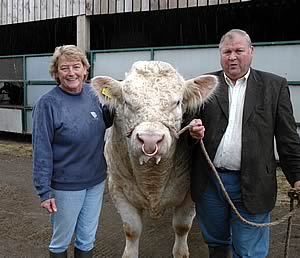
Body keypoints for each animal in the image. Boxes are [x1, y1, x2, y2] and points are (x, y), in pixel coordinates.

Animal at [91, 61, 218, 258]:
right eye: (126, 102)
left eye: (178, 102)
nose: (150, 140)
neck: (152, 179)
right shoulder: (117, 188)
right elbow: (131, 229)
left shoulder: (191, 194)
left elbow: (182, 226)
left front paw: (181, 251)